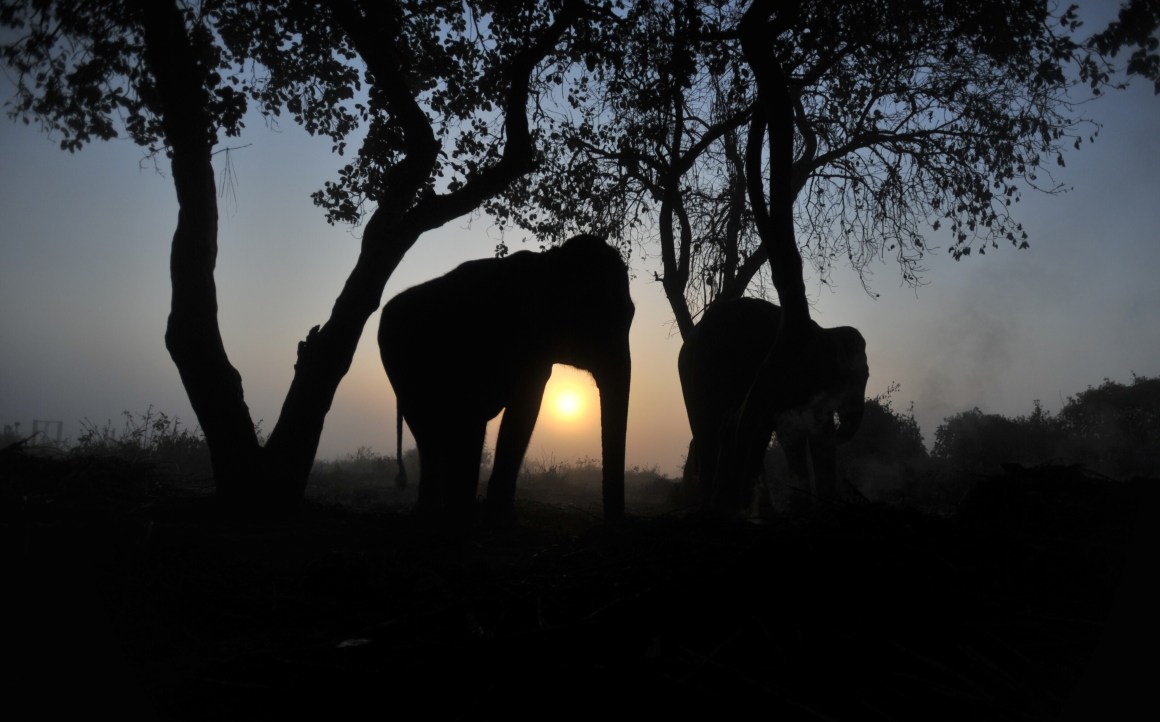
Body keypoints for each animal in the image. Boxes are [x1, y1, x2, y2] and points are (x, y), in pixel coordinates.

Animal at [378, 236, 635, 526]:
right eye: (592, 311)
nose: (616, 522)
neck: (546, 264)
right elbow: (475, 413)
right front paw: (471, 517)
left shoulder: (535, 356)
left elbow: (526, 407)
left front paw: (499, 516)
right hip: (400, 368)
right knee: (429, 427)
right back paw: (432, 512)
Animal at [677, 297, 872, 513]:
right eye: (846, 378)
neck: (827, 331)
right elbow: (806, 432)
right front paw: (816, 507)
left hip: (692, 378)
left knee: (707, 432)